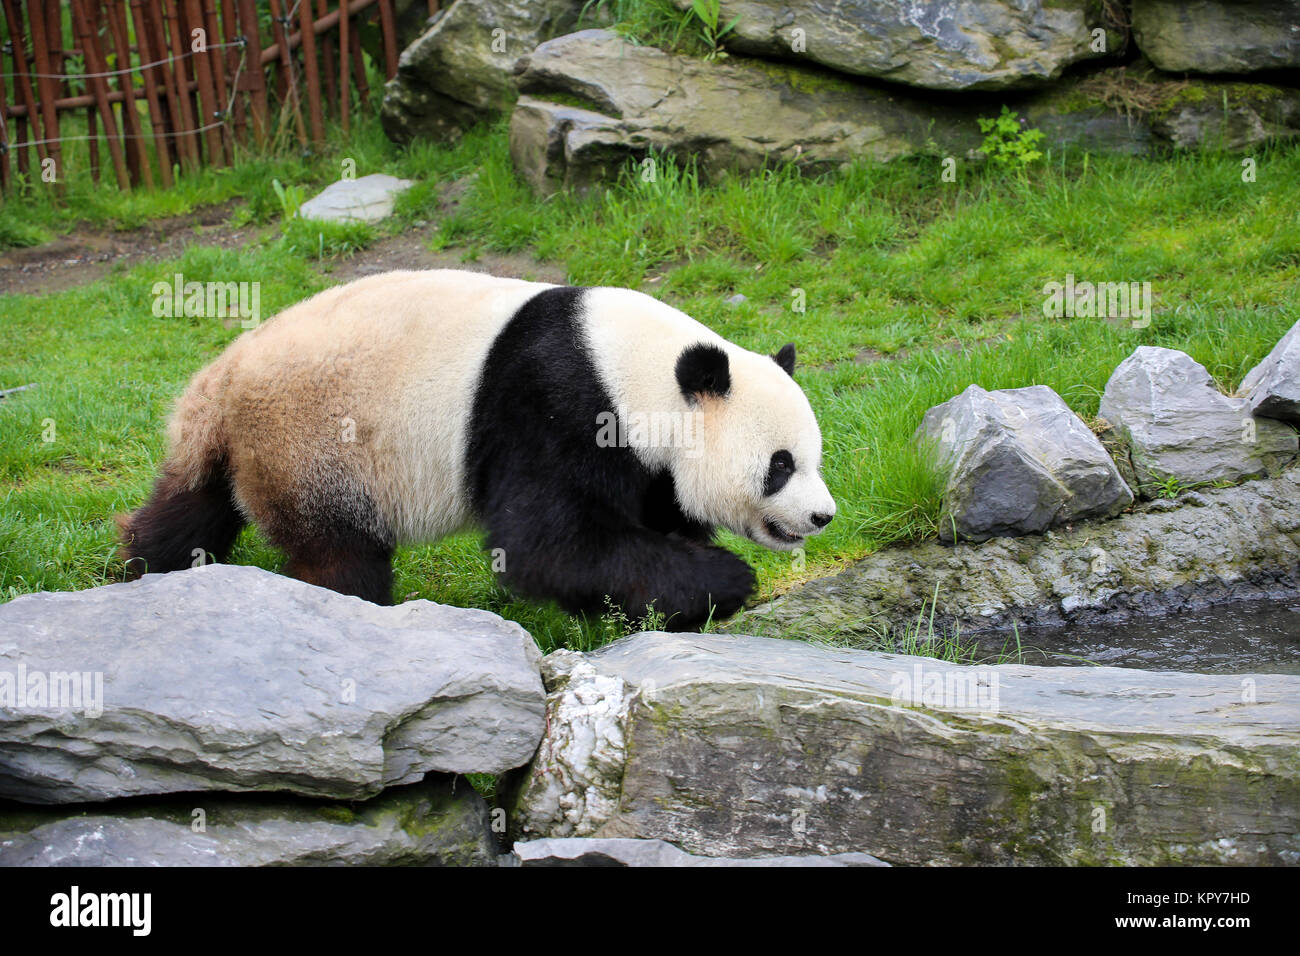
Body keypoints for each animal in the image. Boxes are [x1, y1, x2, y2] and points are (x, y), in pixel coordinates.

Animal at [119, 269, 832, 632]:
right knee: (339, 553)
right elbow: (547, 542)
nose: (822, 516)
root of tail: (221, 381)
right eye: (781, 464)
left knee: (189, 508)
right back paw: (351, 611)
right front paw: (726, 581)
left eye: (813, 457)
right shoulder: (558, 402)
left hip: (232, 446)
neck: (639, 368)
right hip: (312, 444)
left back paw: (144, 569)